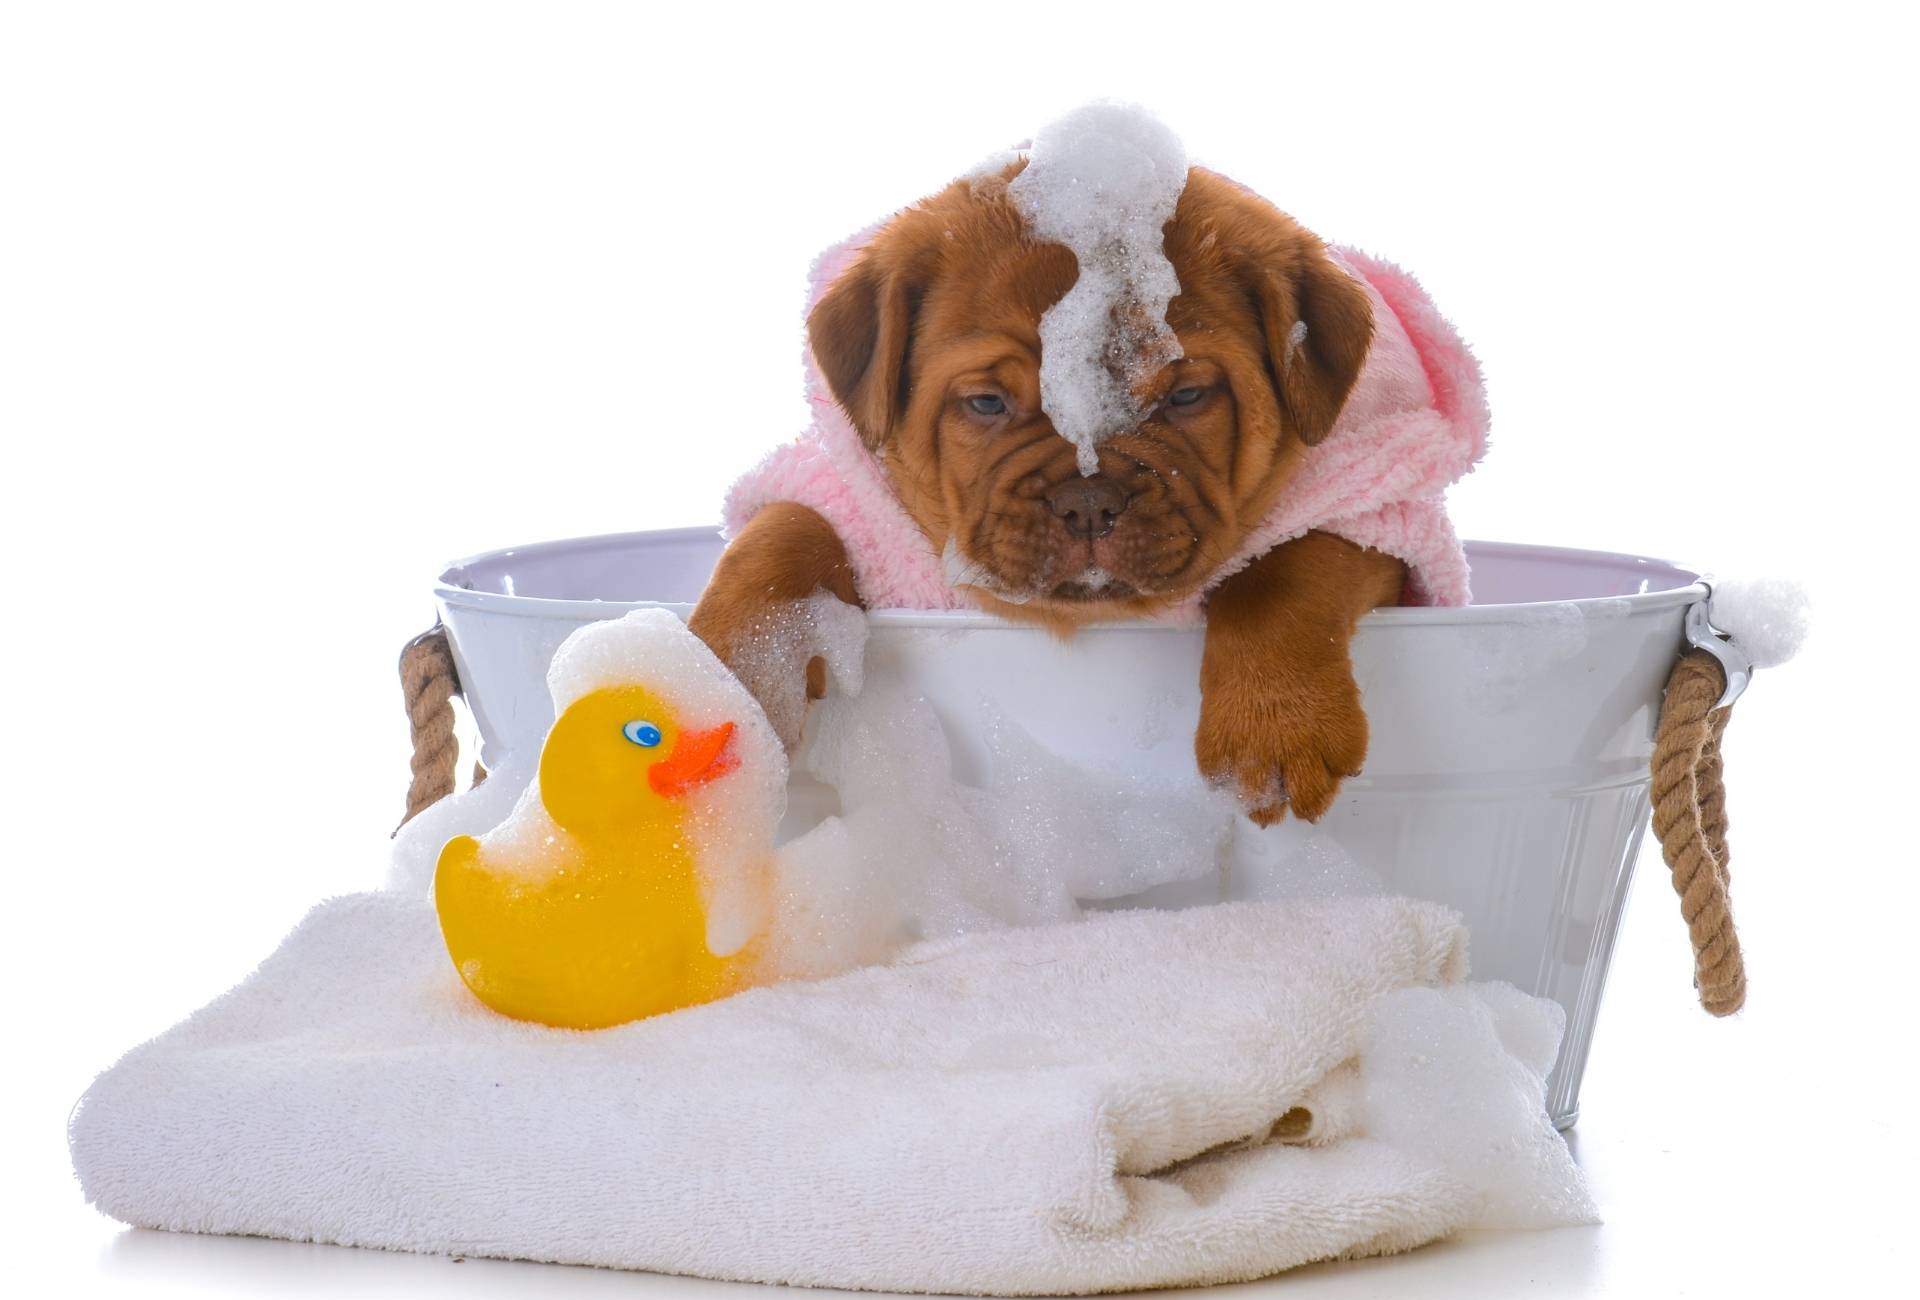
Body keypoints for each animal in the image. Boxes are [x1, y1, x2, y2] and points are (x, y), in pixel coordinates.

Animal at [698, 165, 1420, 821]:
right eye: (988, 403)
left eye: (1186, 397)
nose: (1089, 502)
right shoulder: (850, 502)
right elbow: (786, 527)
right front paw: (741, 670)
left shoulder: (1383, 524)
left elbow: (1285, 566)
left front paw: (1274, 723)